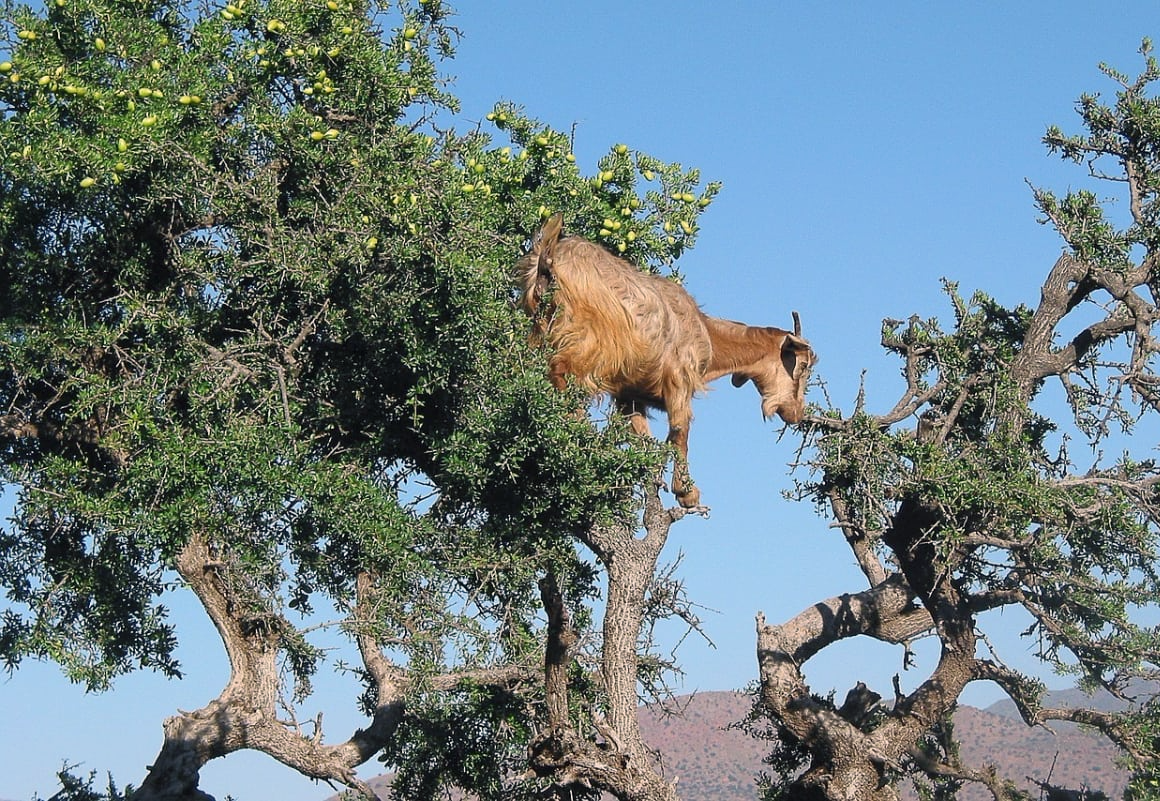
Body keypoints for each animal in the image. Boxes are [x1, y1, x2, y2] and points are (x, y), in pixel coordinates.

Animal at [516, 213, 815, 507]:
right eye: (801, 366)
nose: (796, 413)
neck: (707, 333)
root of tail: (549, 257)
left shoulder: (629, 393)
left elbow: (642, 435)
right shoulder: (679, 380)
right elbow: (680, 431)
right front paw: (686, 492)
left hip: (537, 331)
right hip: (589, 345)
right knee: (560, 370)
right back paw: (578, 428)